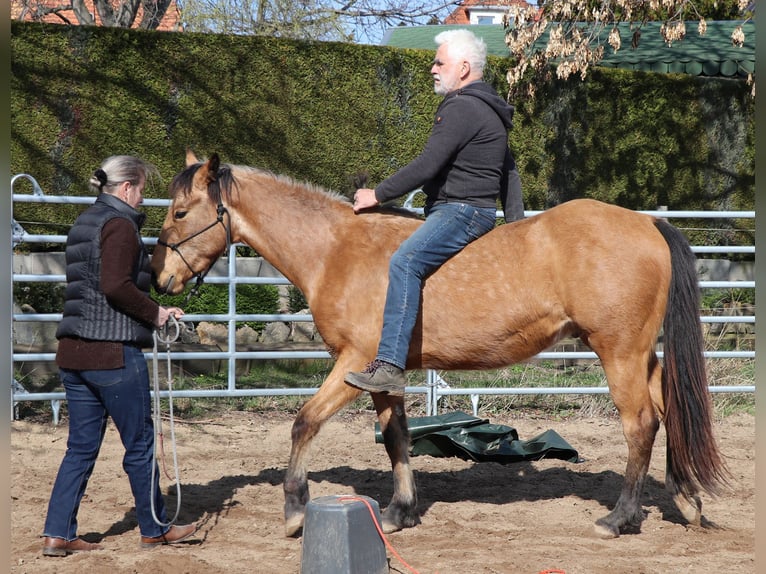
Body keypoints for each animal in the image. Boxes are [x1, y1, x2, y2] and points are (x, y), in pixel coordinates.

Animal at [151, 151, 728, 540]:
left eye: (179, 212)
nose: (158, 277)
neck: (337, 249)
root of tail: (647, 223)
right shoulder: (383, 373)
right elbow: (397, 438)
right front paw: (399, 511)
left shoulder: (353, 363)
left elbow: (304, 423)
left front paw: (295, 509)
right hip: (640, 355)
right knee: (669, 409)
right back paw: (687, 501)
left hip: (619, 352)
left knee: (641, 424)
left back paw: (621, 517)